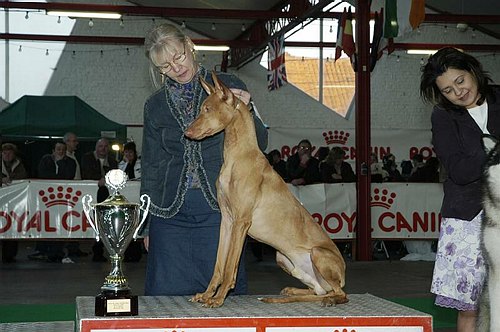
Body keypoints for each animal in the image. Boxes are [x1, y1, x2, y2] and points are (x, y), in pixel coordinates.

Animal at [185, 72, 348, 308]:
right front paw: (207, 294)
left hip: (319, 254)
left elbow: (229, 267)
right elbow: (219, 265)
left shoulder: (241, 222)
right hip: (283, 259)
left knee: (339, 294)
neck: (237, 157)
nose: (186, 132)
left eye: (207, 109)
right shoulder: (227, 221)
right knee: (318, 291)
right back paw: (287, 294)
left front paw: (218, 298)